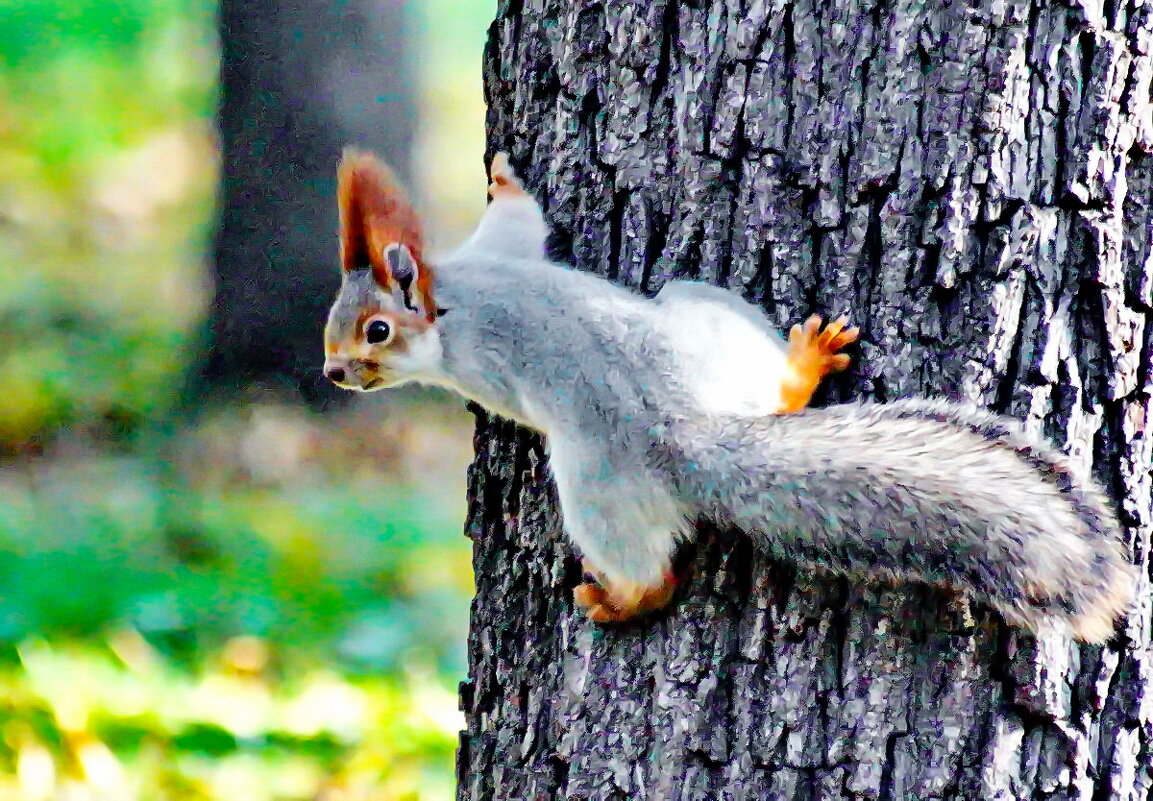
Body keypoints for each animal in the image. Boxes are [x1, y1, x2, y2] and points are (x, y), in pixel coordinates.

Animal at [318, 147, 1134, 640]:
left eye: (375, 331)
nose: (334, 372)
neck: (451, 300)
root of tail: (690, 435)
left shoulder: (486, 315)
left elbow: (520, 222)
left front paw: (499, 178)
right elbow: (523, 219)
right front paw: (502, 177)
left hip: (592, 486)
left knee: (651, 574)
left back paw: (618, 599)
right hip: (707, 318)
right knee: (773, 399)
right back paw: (805, 365)